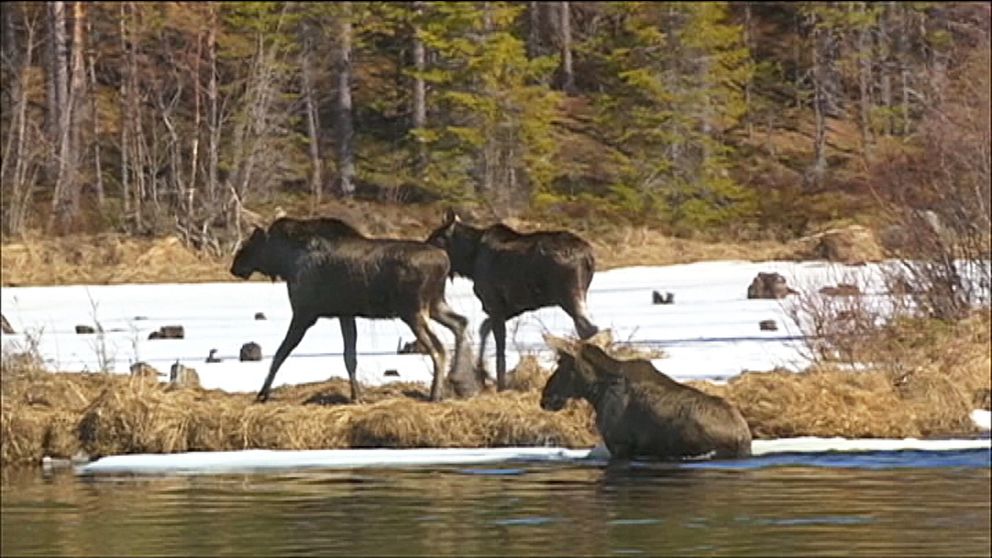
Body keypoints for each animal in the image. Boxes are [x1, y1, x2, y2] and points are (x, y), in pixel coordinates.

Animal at [229, 217, 476, 404]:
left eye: (251, 244)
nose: (234, 266)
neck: (285, 262)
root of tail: (445, 262)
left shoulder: (304, 313)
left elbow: (281, 353)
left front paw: (262, 394)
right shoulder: (345, 314)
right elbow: (350, 357)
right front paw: (356, 396)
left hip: (413, 311)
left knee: (439, 348)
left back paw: (437, 393)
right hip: (435, 304)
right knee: (461, 323)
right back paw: (459, 381)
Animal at [424, 211, 596, 394]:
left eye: (437, 238)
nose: (426, 251)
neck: (469, 261)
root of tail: (589, 256)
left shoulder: (494, 303)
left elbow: (499, 346)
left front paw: (500, 385)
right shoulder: (513, 307)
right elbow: (485, 327)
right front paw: (482, 374)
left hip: (568, 296)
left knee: (587, 329)